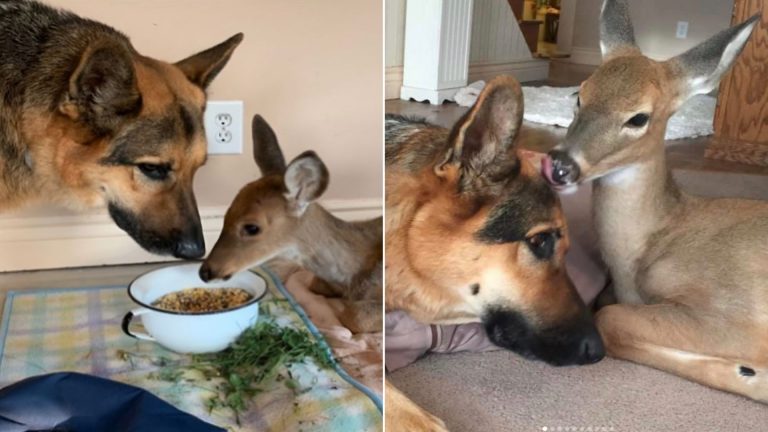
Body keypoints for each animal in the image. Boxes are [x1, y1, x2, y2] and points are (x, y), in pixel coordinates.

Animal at [199, 115, 382, 334]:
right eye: (226, 214)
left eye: (252, 227)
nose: (205, 271)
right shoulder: (322, 282)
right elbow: (315, 284)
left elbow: (354, 317)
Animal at [541, 0, 768, 402]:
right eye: (578, 95)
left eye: (639, 117)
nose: (560, 165)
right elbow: (607, 307)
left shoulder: (739, 313)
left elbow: (609, 318)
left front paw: (747, 373)